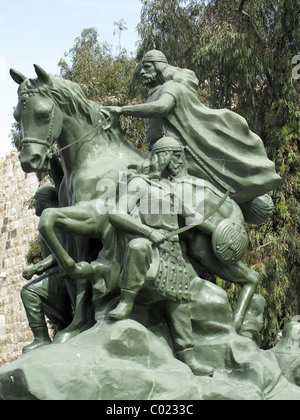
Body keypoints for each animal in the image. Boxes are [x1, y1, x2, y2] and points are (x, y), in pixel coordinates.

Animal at [10, 65, 260, 342]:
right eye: (17, 114)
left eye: (43, 114)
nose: (29, 160)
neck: (95, 156)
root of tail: (233, 205)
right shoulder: (76, 229)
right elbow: (57, 241)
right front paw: (75, 324)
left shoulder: (94, 216)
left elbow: (48, 220)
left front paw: (82, 272)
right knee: (251, 278)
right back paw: (238, 328)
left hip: (208, 250)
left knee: (251, 276)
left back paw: (237, 328)